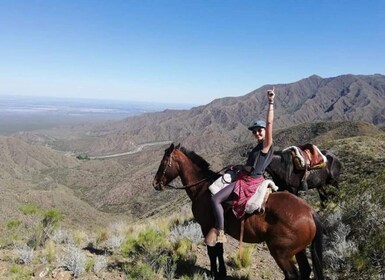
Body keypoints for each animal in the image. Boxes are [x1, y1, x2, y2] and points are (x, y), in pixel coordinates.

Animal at [152, 144, 322, 280]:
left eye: (164, 162)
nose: (155, 183)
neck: (202, 189)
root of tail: (310, 212)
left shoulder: (205, 226)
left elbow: (212, 252)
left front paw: (213, 273)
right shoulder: (218, 228)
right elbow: (219, 251)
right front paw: (221, 273)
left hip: (281, 253)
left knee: (291, 275)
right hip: (298, 251)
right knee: (305, 271)